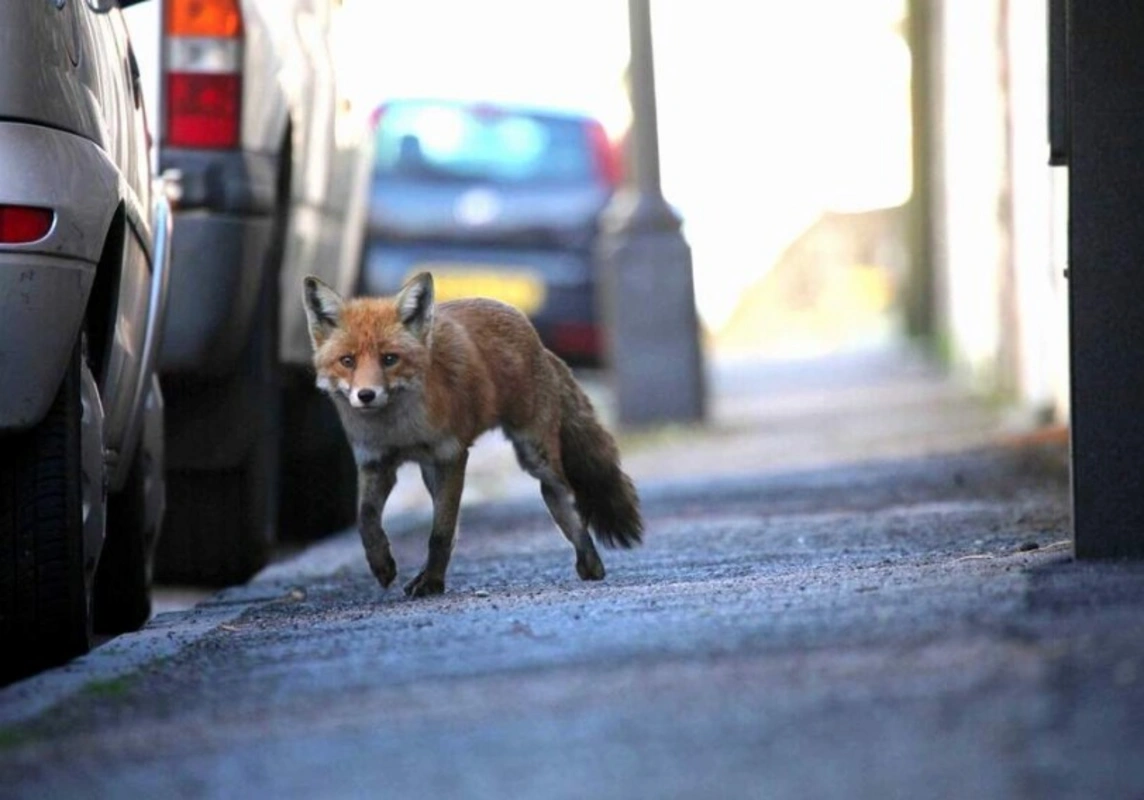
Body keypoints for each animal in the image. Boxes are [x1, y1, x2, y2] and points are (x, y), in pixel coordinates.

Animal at [302, 272, 645, 599]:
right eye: (347, 361)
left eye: (389, 359)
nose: (366, 395)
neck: (399, 431)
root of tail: (538, 340)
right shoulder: (376, 463)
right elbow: (366, 521)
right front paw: (382, 564)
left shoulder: (451, 456)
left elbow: (439, 533)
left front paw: (433, 583)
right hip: (433, 473)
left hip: (536, 458)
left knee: (568, 501)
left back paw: (590, 562)